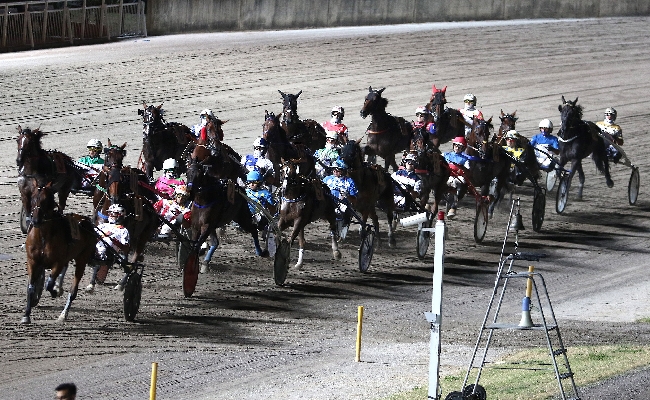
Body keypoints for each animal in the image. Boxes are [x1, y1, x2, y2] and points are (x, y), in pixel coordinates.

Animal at [22, 183, 96, 324]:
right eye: (33, 198)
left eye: (46, 200)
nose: (36, 220)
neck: (43, 237)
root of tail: (85, 221)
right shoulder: (32, 261)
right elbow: (31, 287)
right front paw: (26, 315)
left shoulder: (58, 262)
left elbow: (49, 283)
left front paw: (55, 291)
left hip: (82, 259)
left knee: (73, 290)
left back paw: (63, 313)